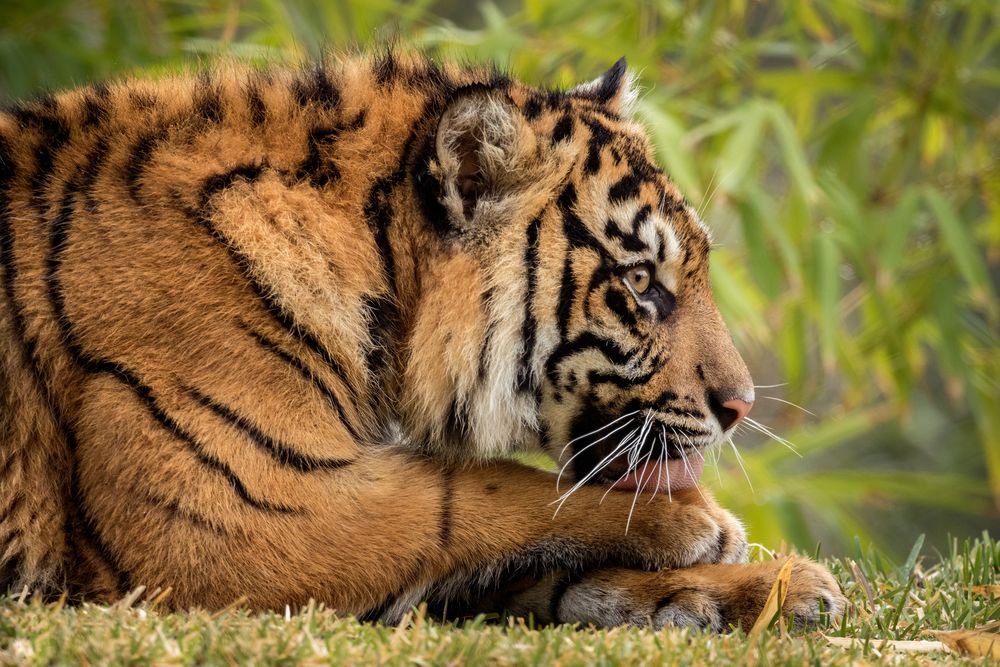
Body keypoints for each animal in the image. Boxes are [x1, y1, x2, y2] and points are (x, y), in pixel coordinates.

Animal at [0, 50, 844, 630]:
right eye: (640, 283)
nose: (740, 405)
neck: (371, 261)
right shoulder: (228, 513)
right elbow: (481, 491)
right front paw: (703, 525)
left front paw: (773, 588)